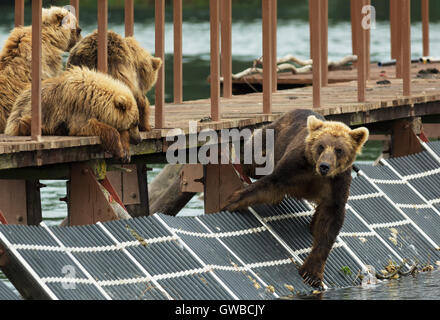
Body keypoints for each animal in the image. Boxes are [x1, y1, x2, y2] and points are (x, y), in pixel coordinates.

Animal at [4, 67, 140, 162]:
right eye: (134, 123)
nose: (139, 139)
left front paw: (126, 153)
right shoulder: (78, 108)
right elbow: (87, 126)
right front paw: (119, 151)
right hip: (27, 114)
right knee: (25, 123)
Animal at [223, 109, 368, 288]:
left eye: (339, 149)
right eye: (321, 146)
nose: (324, 166)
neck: (315, 173)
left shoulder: (336, 185)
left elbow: (329, 224)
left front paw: (312, 274)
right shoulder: (295, 168)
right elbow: (268, 185)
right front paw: (230, 202)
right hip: (273, 140)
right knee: (254, 159)